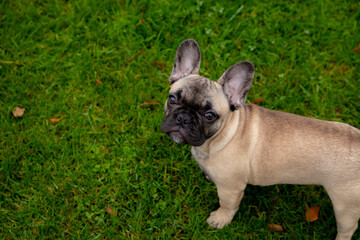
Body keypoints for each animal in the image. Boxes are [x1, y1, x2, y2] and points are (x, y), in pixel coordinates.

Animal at [161, 39, 360, 240]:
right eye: (172, 99)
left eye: (209, 115)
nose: (184, 118)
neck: (224, 134)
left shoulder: (230, 188)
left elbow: (227, 205)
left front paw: (220, 219)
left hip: (345, 207)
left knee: (347, 228)